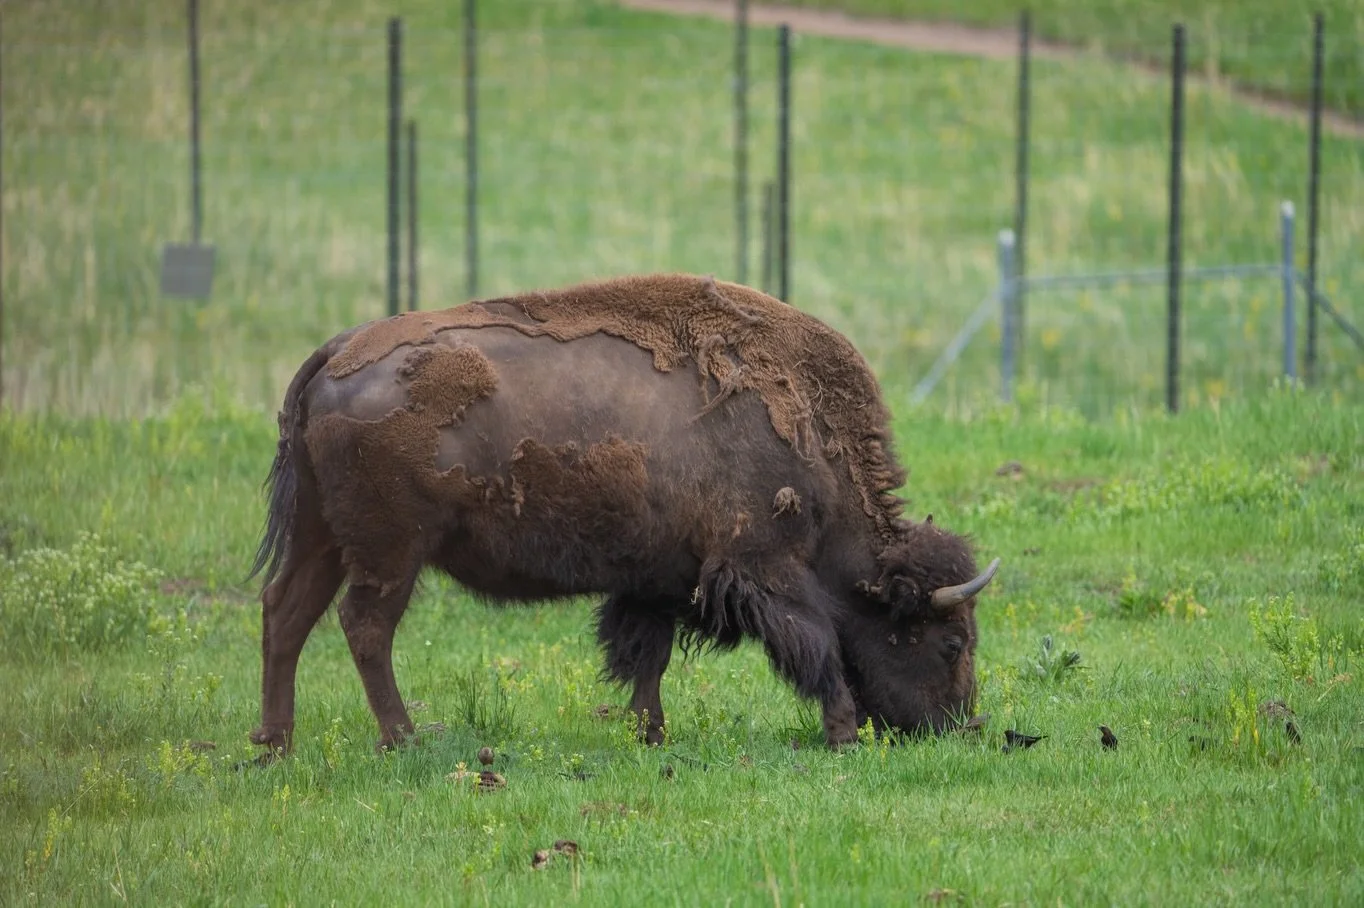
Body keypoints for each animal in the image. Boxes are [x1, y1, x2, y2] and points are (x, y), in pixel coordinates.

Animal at [248, 273, 998, 756]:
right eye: (950, 643)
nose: (961, 728)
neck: (810, 432)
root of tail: (339, 352)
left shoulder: (658, 579)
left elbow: (648, 656)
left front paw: (651, 734)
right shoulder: (763, 568)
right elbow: (817, 645)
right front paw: (841, 733)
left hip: (323, 536)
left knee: (285, 612)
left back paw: (276, 743)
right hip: (390, 552)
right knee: (364, 627)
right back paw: (403, 740)